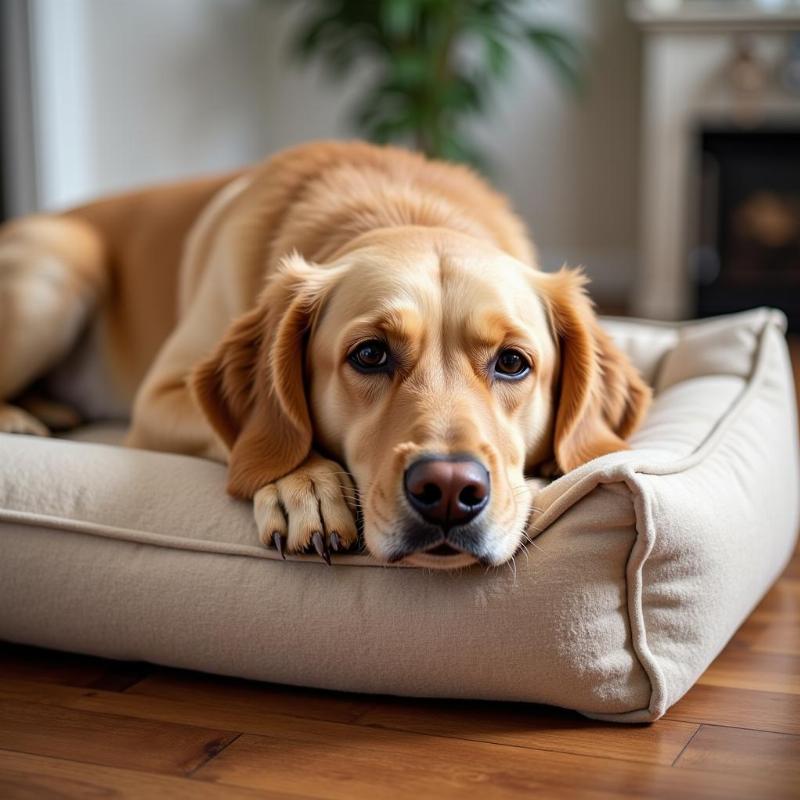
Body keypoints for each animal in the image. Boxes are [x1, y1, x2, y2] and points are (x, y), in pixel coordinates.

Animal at [0, 142, 648, 568]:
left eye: (513, 362)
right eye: (370, 355)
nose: (448, 490)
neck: (401, 206)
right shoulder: (159, 398)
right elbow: (265, 438)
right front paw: (304, 487)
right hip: (61, 264)